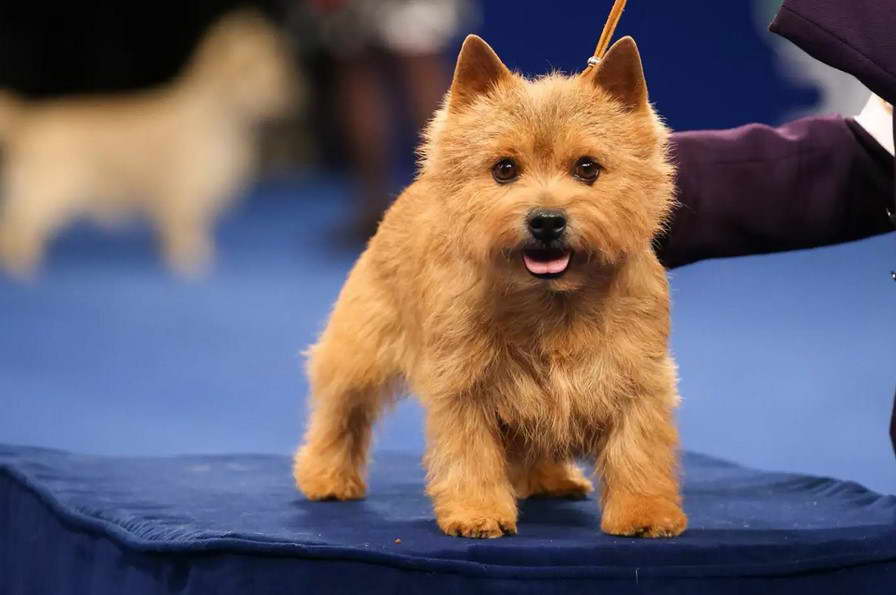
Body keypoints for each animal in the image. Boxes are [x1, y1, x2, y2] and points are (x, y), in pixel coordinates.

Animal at [0, 11, 298, 278]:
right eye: (249, 71)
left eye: (278, 70)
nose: (287, 96)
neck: (220, 120)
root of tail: (29, 122)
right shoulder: (183, 191)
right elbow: (185, 230)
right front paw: (191, 261)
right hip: (45, 193)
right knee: (15, 227)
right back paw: (23, 267)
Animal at [294, 35, 688, 544]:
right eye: (504, 168)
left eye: (587, 168)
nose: (546, 220)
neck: (551, 304)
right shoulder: (463, 386)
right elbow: (471, 456)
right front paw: (477, 512)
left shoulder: (637, 380)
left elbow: (638, 451)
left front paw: (646, 513)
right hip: (361, 347)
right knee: (341, 410)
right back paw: (327, 477)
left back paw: (550, 478)